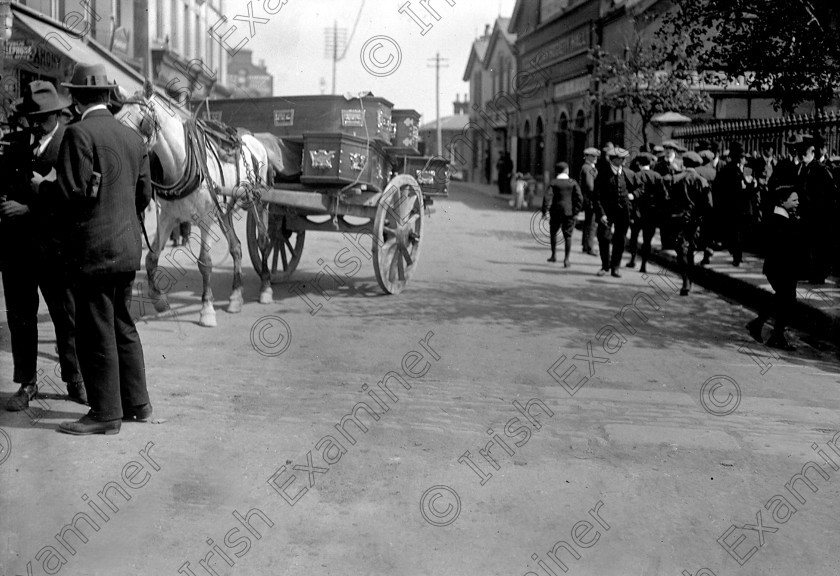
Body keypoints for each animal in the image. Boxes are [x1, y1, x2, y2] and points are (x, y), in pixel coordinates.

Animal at [114, 81, 272, 326]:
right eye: (117, 117)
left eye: (142, 121)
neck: (181, 163)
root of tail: (255, 140)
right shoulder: (168, 217)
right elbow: (151, 258)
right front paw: (159, 300)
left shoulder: (205, 219)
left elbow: (204, 263)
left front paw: (206, 309)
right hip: (224, 210)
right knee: (236, 247)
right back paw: (235, 297)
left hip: (259, 201)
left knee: (264, 241)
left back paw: (265, 287)